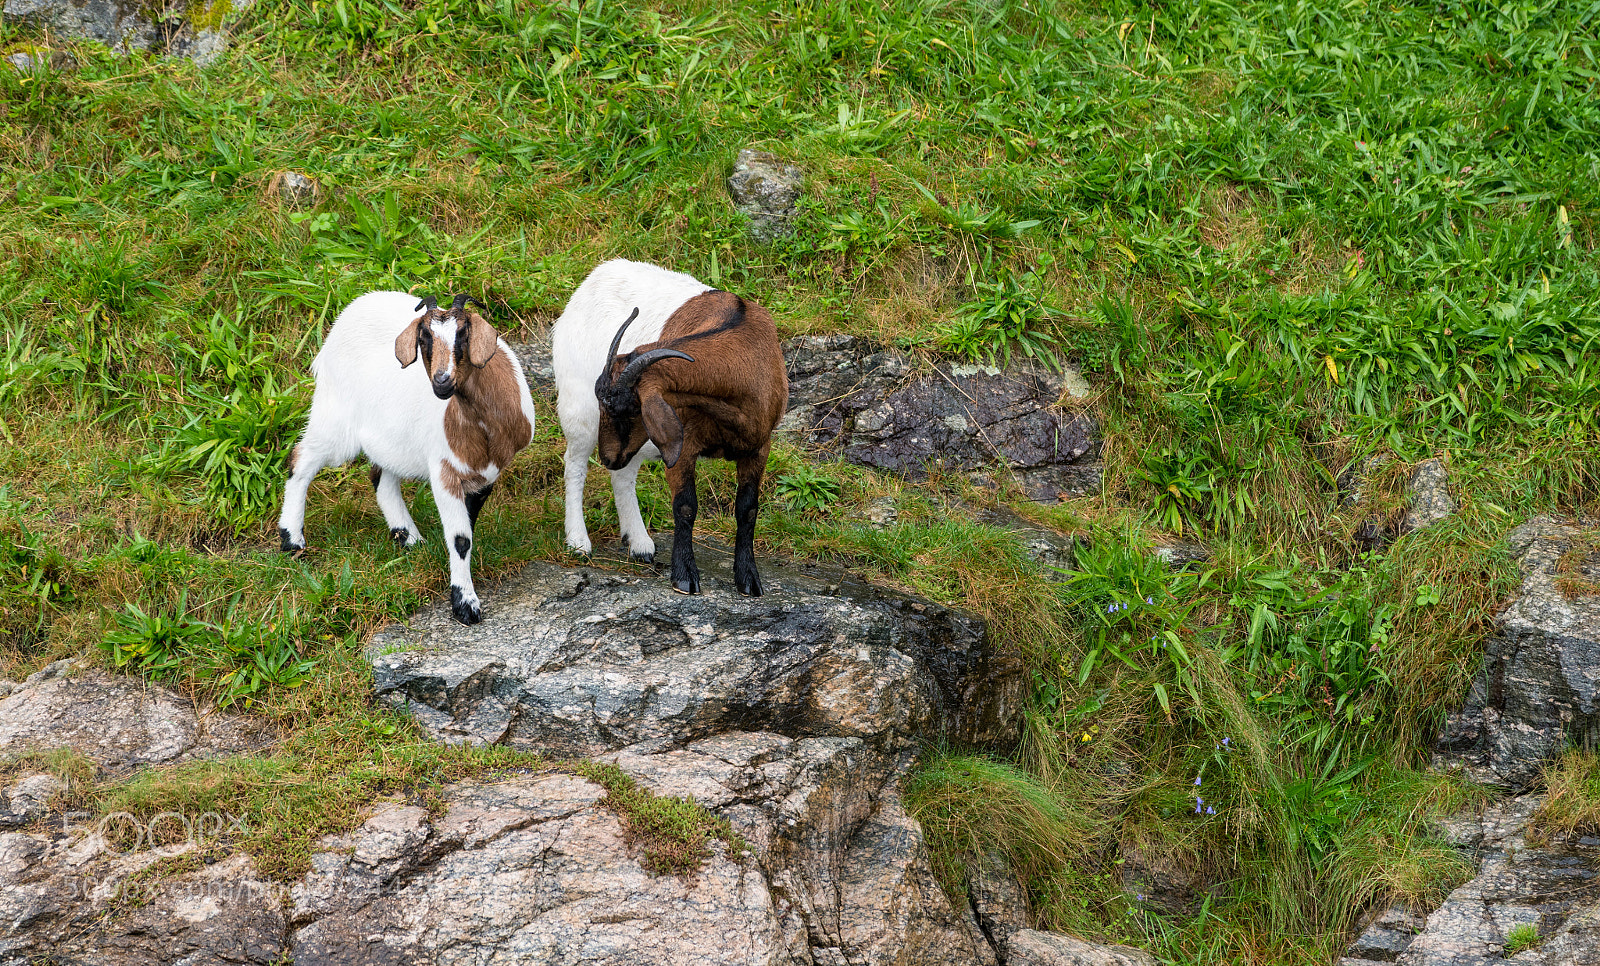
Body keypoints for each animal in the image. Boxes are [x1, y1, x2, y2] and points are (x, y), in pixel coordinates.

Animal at [277, 291, 535, 624]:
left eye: (463, 334)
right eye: (423, 338)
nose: (442, 381)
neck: (483, 428)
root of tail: (347, 314)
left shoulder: (486, 473)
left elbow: (468, 527)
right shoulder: (444, 470)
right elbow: (460, 538)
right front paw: (465, 604)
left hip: (389, 439)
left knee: (381, 478)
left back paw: (408, 538)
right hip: (334, 419)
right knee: (301, 460)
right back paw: (292, 541)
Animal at [590, 288, 788, 596]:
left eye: (630, 409)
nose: (608, 458)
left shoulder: (759, 448)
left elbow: (748, 509)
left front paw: (748, 579)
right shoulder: (684, 446)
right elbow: (685, 506)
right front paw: (684, 576)